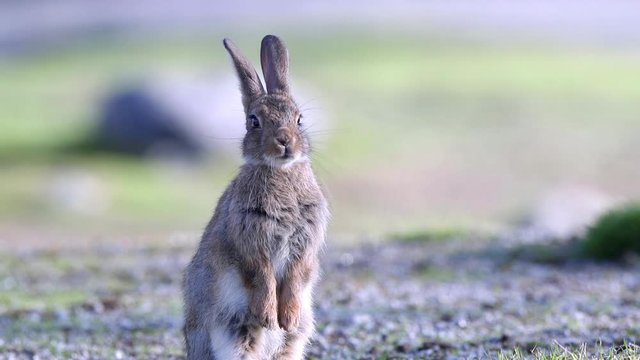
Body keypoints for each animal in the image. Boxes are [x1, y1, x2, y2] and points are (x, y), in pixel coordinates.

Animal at [181, 34, 328, 360]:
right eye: (254, 121)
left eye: (299, 119)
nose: (284, 140)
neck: (281, 171)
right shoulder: (250, 244)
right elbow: (261, 277)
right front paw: (269, 317)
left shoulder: (304, 245)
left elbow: (296, 276)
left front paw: (287, 318)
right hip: (235, 337)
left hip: (290, 346)